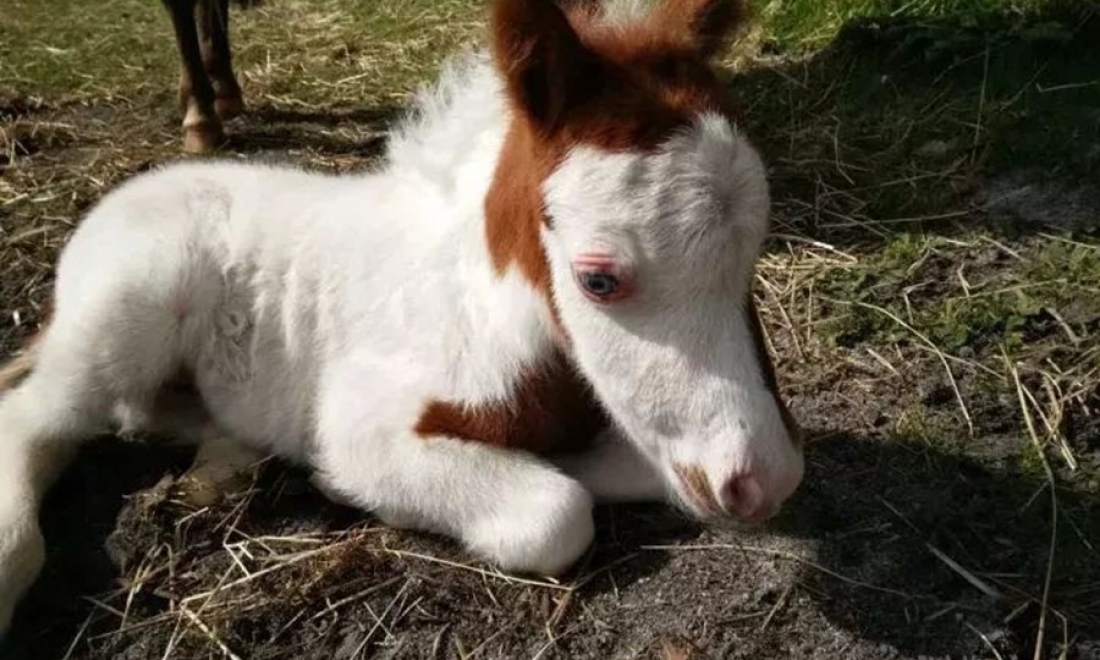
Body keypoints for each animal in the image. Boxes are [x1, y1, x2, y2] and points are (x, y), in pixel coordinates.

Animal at [2, 0, 809, 638]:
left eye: (756, 253)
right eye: (598, 279)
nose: (768, 481)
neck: (485, 312)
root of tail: (134, 190)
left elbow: (642, 466)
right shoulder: (364, 423)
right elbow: (557, 512)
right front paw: (349, 486)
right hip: (125, 310)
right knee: (39, 416)